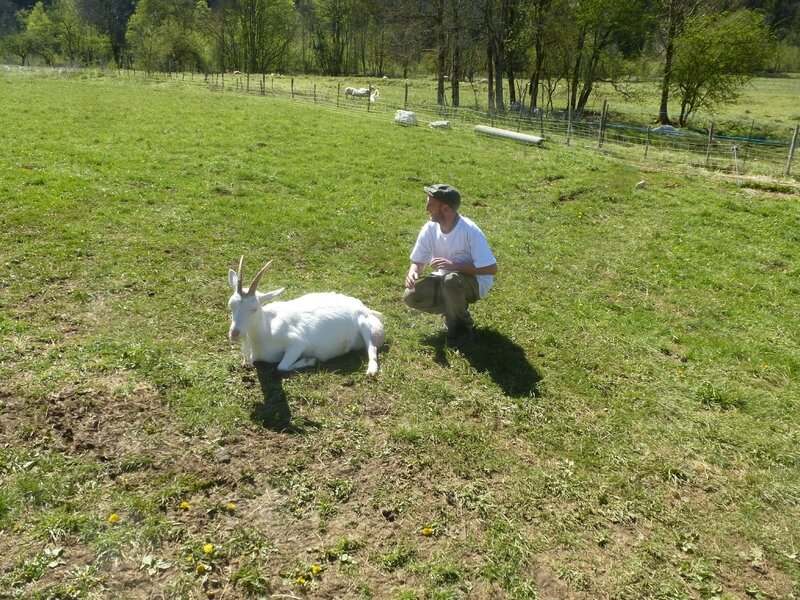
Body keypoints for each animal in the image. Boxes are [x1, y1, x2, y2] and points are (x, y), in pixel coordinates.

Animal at [227, 256, 386, 376]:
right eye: (231, 305)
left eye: (254, 309)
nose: (234, 333)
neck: (266, 331)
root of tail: (364, 307)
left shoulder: (298, 343)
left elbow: (281, 366)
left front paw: (309, 360)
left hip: (365, 325)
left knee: (372, 347)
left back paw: (371, 370)